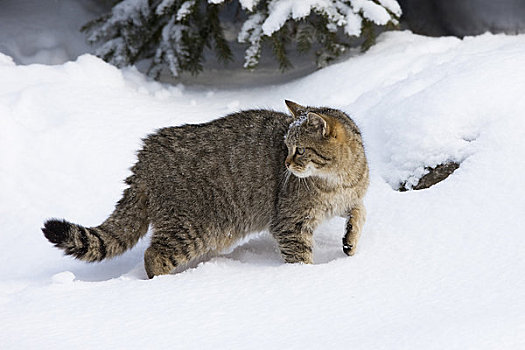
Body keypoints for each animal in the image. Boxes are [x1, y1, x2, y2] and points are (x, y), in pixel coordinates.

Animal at [42, 100, 368, 278]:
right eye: (285, 147)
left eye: (298, 150)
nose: (286, 163)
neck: (337, 178)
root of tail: (146, 156)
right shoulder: (290, 223)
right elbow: (300, 257)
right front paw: (305, 279)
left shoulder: (351, 197)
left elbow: (359, 211)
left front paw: (351, 241)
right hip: (191, 228)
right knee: (153, 256)